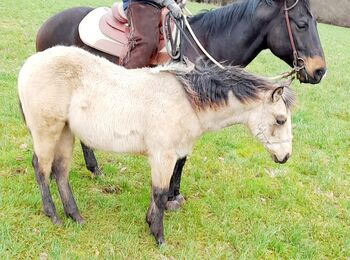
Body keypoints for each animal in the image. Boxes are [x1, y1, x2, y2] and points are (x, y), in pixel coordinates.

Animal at [17, 45, 294, 246]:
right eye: (280, 119)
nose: (285, 156)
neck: (187, 101)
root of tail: (29, 65)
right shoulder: (164, 155)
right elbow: (160, 193)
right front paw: (159, 237)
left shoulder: (166, 156)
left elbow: (157, 191)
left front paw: (150, 222)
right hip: (47, 131)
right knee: (41, 168)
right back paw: (53, 215)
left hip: (65, 132)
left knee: (60, 171)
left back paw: (75, 216)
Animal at [34, 0, 326, 208]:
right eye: (301, 24)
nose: (320, 70)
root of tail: (47, 24)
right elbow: (181, 157)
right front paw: (170, 197)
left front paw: (174, 193)